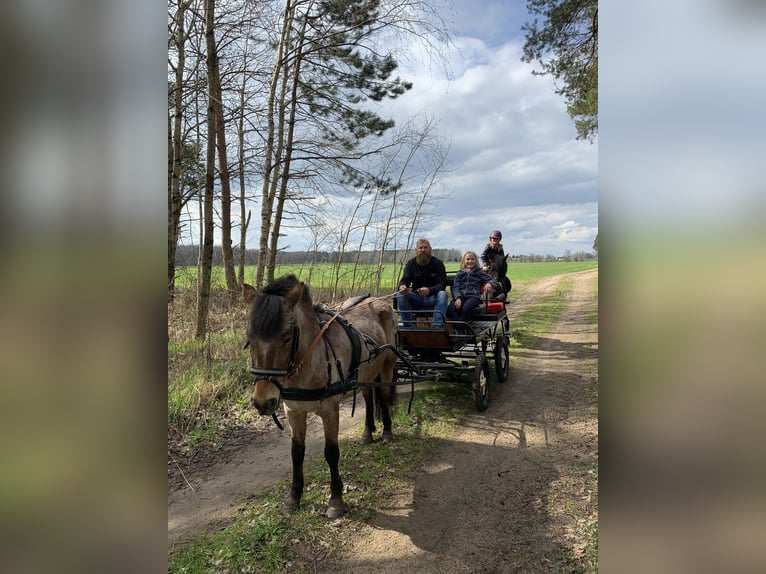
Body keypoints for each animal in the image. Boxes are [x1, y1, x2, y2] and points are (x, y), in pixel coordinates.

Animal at [244, 276, 402, 520]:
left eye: (287, 337)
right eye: (249, 338)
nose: (263, 401)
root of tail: (378, 301)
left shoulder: (330, 411)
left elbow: (331, 452)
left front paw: (336, 500)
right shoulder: (294, 412)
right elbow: (296, 453)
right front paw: (293, 498)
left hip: (386, 367)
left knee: (383, 397)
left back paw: (386, 432)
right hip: (365, 375)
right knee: (368, 398)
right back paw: (367, 433)